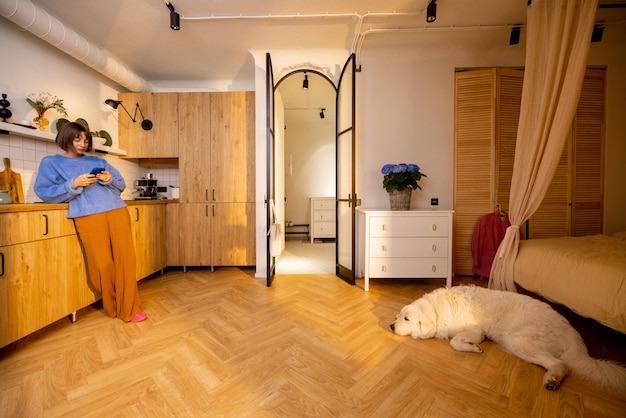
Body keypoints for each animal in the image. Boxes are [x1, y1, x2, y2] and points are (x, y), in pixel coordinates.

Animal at [388, 284, 624, 392]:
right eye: (397, 316)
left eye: (406, 318)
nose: (391, 325)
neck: (438, 310)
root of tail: (572, 334)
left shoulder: (476, 329)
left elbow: (456, 342)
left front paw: (474, 347)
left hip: (517, 341)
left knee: (560, 364)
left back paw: (552, 380)